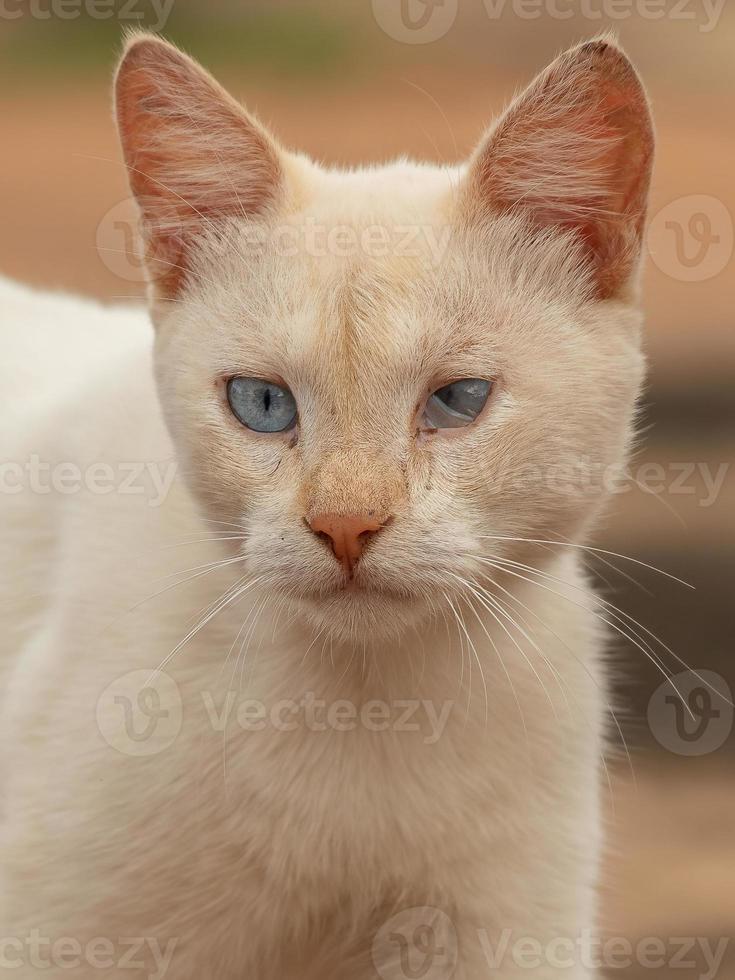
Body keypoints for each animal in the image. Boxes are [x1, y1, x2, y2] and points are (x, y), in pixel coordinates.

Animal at [0, 30, 656, 980]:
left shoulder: (505, 931)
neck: (367, 708)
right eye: (262, 404)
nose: (345, 525)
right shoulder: (60, 936)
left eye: (457, 400)